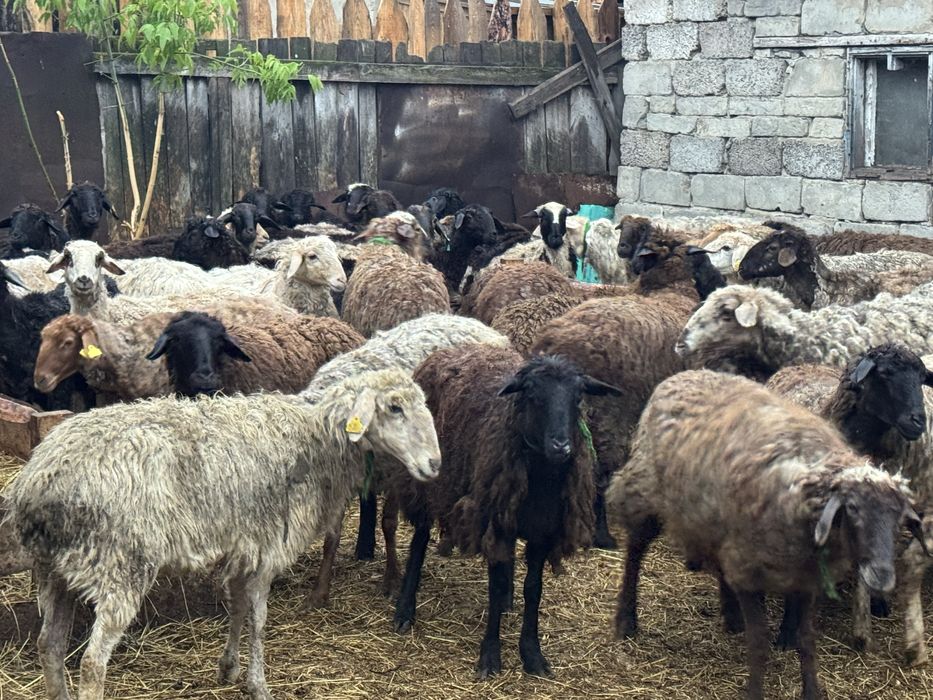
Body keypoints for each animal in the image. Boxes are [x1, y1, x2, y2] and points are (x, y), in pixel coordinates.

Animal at [4, 367, 441, 700]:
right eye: (394, 407)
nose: (435, 464)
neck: (315, 441)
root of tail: (40, 480)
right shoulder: (269, 547)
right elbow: (259, 619)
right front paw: (258, 684)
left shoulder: (242, 546)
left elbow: (236, 607)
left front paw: (228, 667)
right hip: (120, 567)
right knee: (92, 663)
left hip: (55, 569)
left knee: (50, 645)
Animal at [298, 314, 510, 607]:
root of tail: (466, 319)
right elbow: (332, 535)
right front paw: (320, 591)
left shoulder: (397, 474)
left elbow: (389, 523)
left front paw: (392, 578)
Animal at [389, 346, 618, 678]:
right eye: (532, 395)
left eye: (578, 397)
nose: (561, 446)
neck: (541, 480)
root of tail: (454, 348)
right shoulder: (497, 526)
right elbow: (494, 589)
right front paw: (490, 655)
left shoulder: (542, 531)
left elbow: (533, 589)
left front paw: (532, 654)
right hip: (426, 484)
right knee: (418, 541)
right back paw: (405, 610)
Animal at [606, 369, 922, 700]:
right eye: (852, 510)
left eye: (898, 519)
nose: (883, 578)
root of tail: (686, 373)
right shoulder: (750, 568)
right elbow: (759, 644)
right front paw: (756, 689)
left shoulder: (804, 576)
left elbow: (806, 640)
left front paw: (811, 690)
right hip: (646, 491)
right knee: (635, 551)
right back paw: (626, 620)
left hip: (716, 521)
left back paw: (731, 616)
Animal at [766, 345, 933, 665]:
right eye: (885, 373)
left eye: (921, 378)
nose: (919, 421)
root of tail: (802, 364)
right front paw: (787, 633)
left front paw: (876, 604)